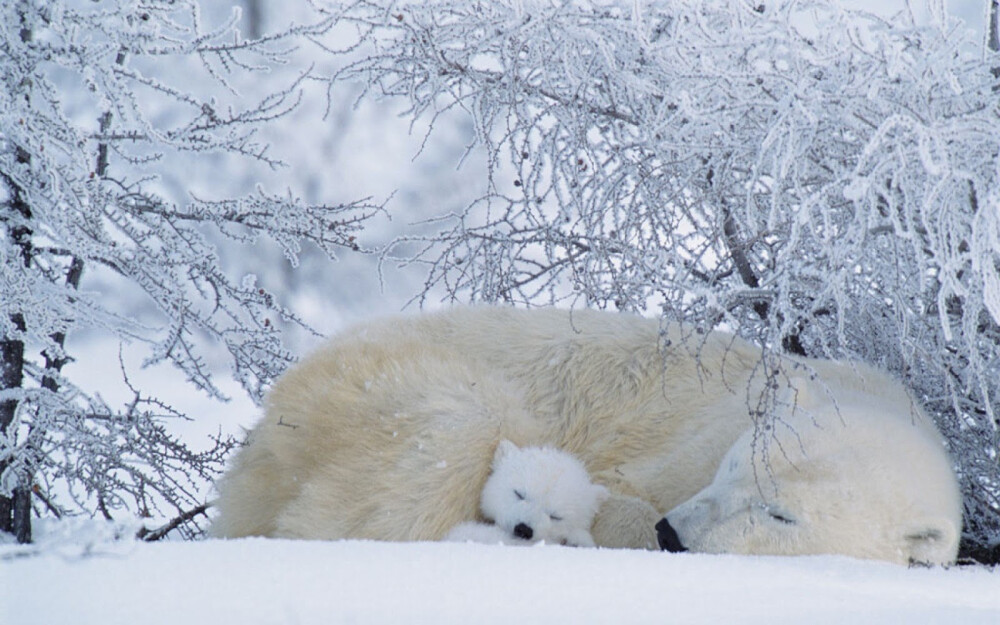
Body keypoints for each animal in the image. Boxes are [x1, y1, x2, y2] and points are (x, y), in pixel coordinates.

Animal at [213, 304, 960, 564]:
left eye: (780, 513)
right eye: (730, 468)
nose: (673, 533)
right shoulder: (689, 438)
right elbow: (614, 488)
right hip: (378, 383)